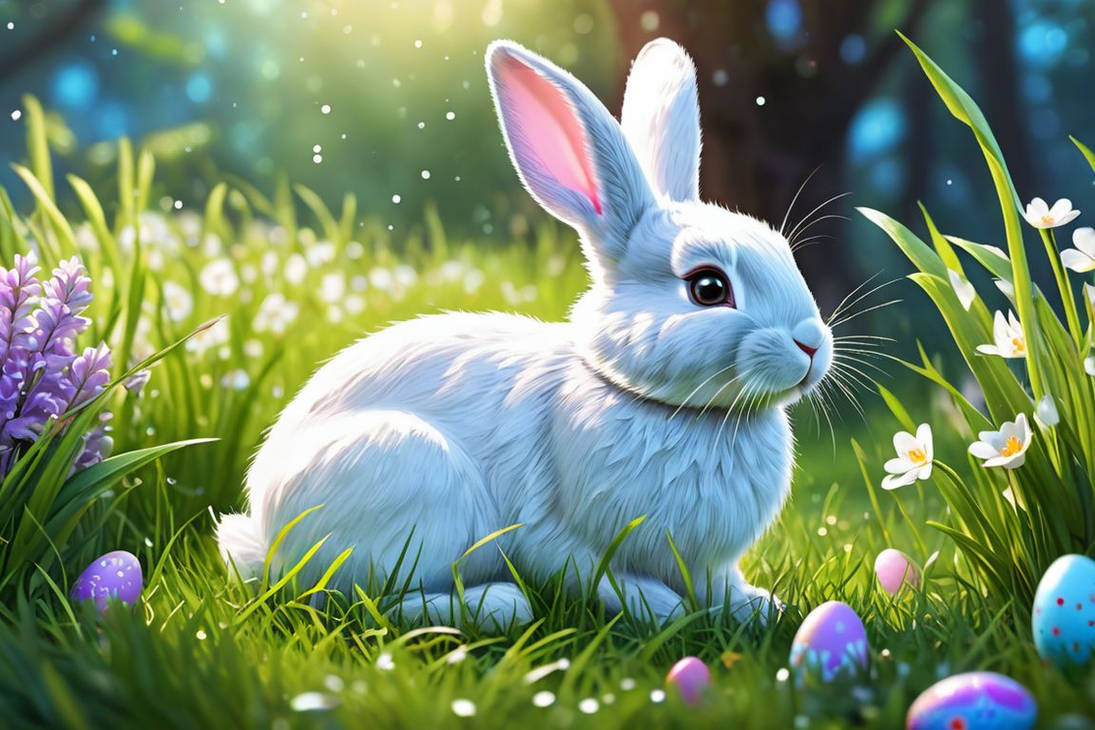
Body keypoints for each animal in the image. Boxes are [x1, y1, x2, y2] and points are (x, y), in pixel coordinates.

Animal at [216, 37, 832, 630]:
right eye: (708, 287)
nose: (811, 344)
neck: (670, 408)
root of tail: (267, 538)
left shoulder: (707, 563)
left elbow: (718, 587)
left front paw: (759, 609)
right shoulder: (554, 535)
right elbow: (597, 576)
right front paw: (663, 611)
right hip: (411, 477)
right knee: (356, 602)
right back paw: (498, 604)